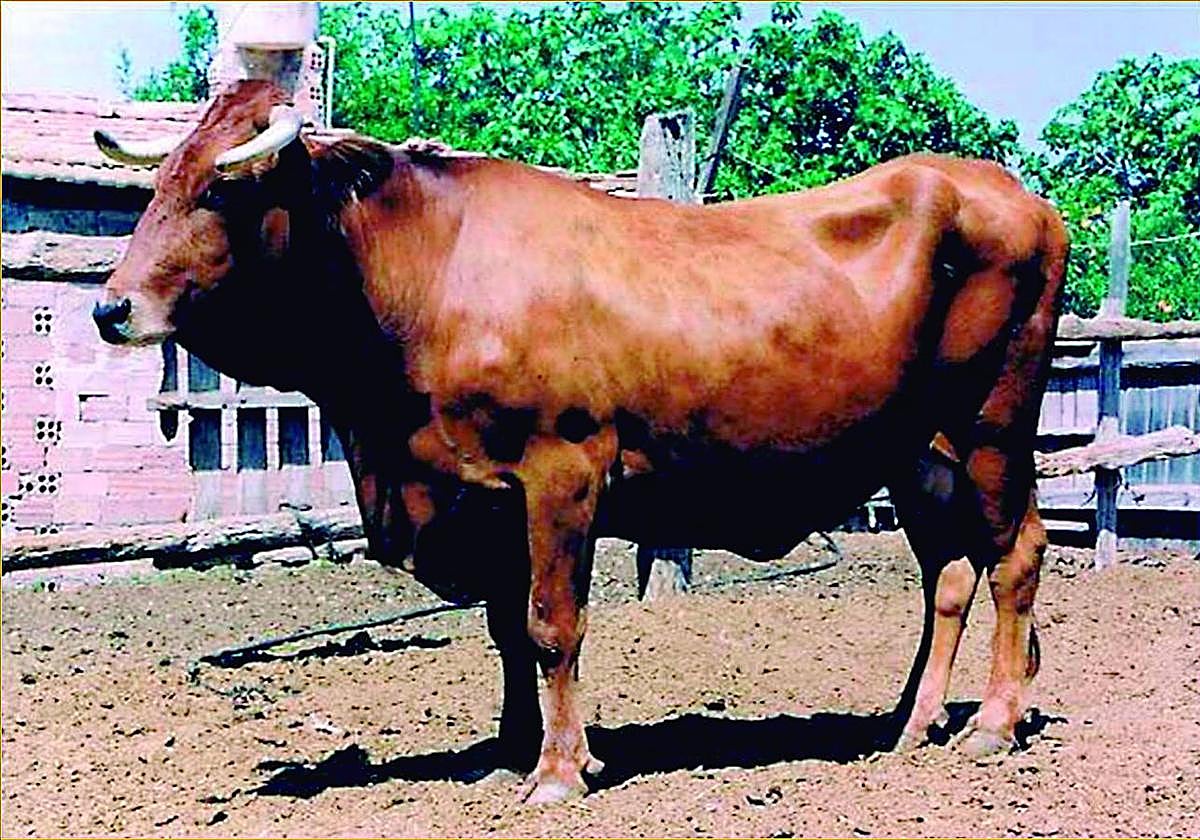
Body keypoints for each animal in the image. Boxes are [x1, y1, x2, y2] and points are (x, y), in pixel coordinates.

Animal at [94, 80, 1068, 804]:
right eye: (160, 184)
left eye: (222, 189)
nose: (111, 308)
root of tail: (1016, 195)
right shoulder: (483, 493)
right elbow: (503, 629)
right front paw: (510, 747)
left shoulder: (562, 471)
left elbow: (551, 624)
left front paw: (560, 770)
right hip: (919, 456)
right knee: (948, 575)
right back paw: (910, 723)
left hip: (992, 428)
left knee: (1016, 555)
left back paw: (991, 724)